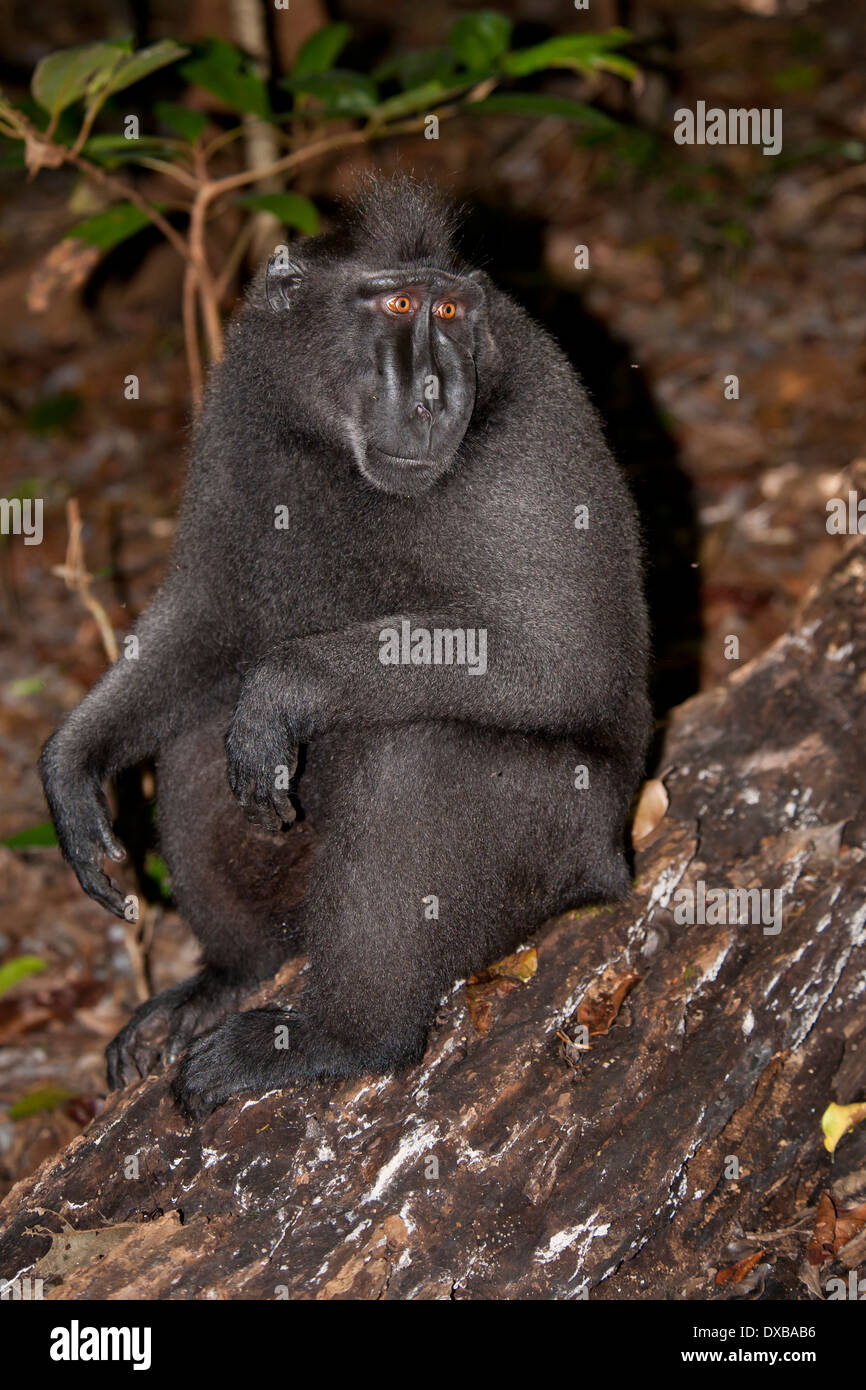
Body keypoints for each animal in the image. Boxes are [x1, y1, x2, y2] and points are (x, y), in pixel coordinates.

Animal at [39, 173, 651, 1119]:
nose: (436, 395)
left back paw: (343, 1037)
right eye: (397, 304)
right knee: (197, 735)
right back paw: (232, 975)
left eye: (450, 310)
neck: (330, 449)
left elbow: (568, 656)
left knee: (417, 758)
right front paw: (71, 767)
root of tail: (618, 860)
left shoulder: (530, 440)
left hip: (567, 847)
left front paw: (287, 687)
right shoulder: (240, 407)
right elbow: (212, 617)